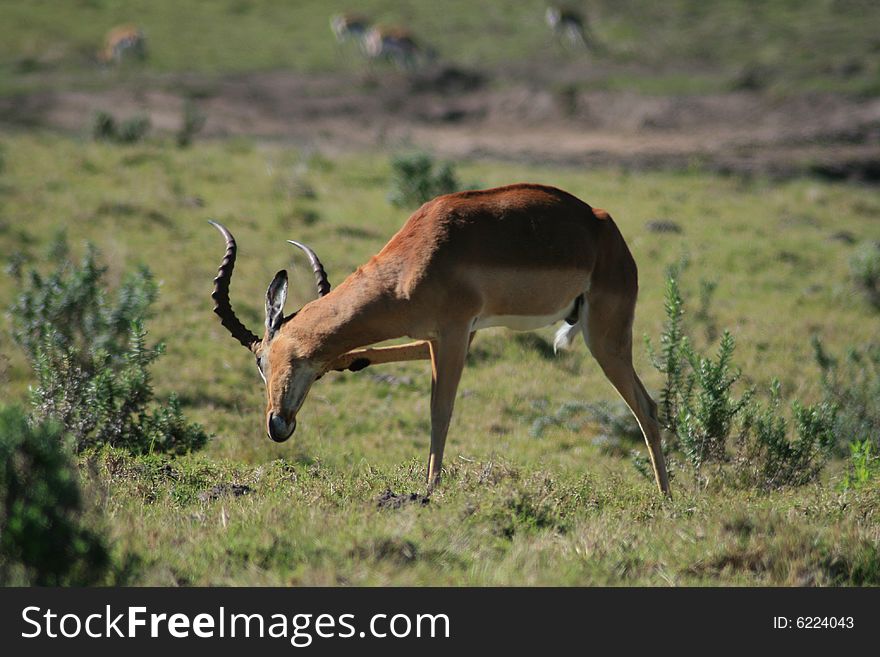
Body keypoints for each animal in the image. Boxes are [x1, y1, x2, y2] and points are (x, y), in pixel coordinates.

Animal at [210, 182, 672, 494]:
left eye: (261, 361)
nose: (277, 425)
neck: (415, 258)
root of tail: (605, 227)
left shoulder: (452, 333)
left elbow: (440, 411)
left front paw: (429, 489)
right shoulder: (443, 335)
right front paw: (347, 359)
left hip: (606, 338)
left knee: (646, 407)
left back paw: (665, 499)